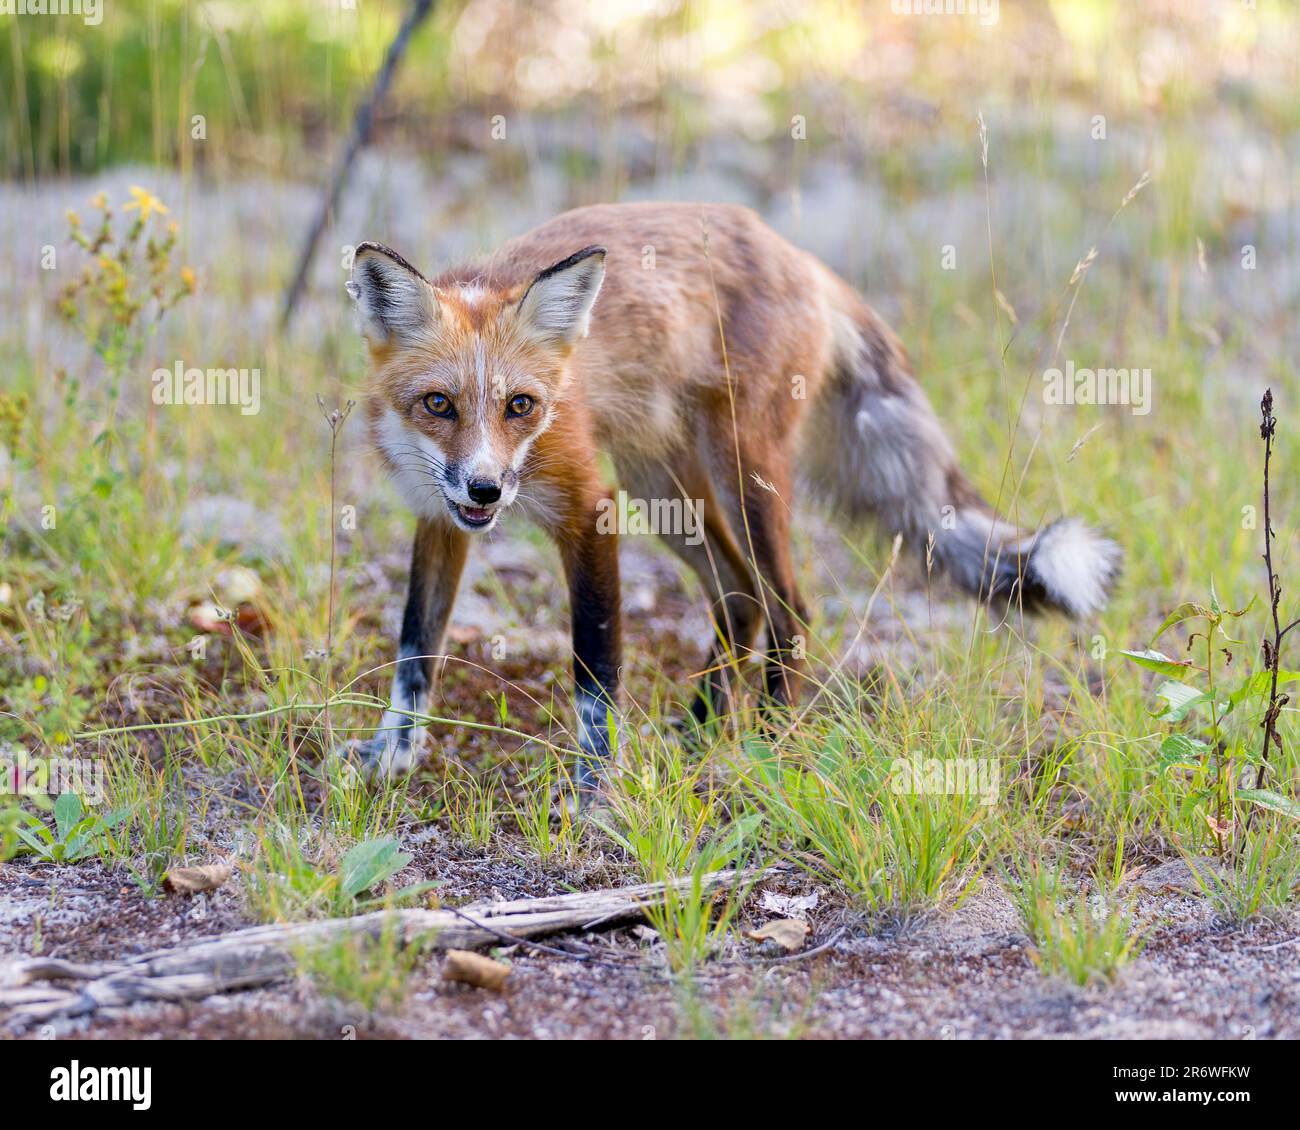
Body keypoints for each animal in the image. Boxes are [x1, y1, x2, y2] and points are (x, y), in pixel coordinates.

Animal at [345, 200, 1118, 785]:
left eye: (520, 406)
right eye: (438, 404)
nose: (485, 488)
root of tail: (795, 253)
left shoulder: (590, 509)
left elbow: (595, 673)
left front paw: (595, 788)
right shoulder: (438, 516)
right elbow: (415, 647)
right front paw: (396, 751)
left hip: (741, 476)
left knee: (790, 607)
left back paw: (768, 742)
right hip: (666, 492)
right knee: (739, 597)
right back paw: (702, 731)